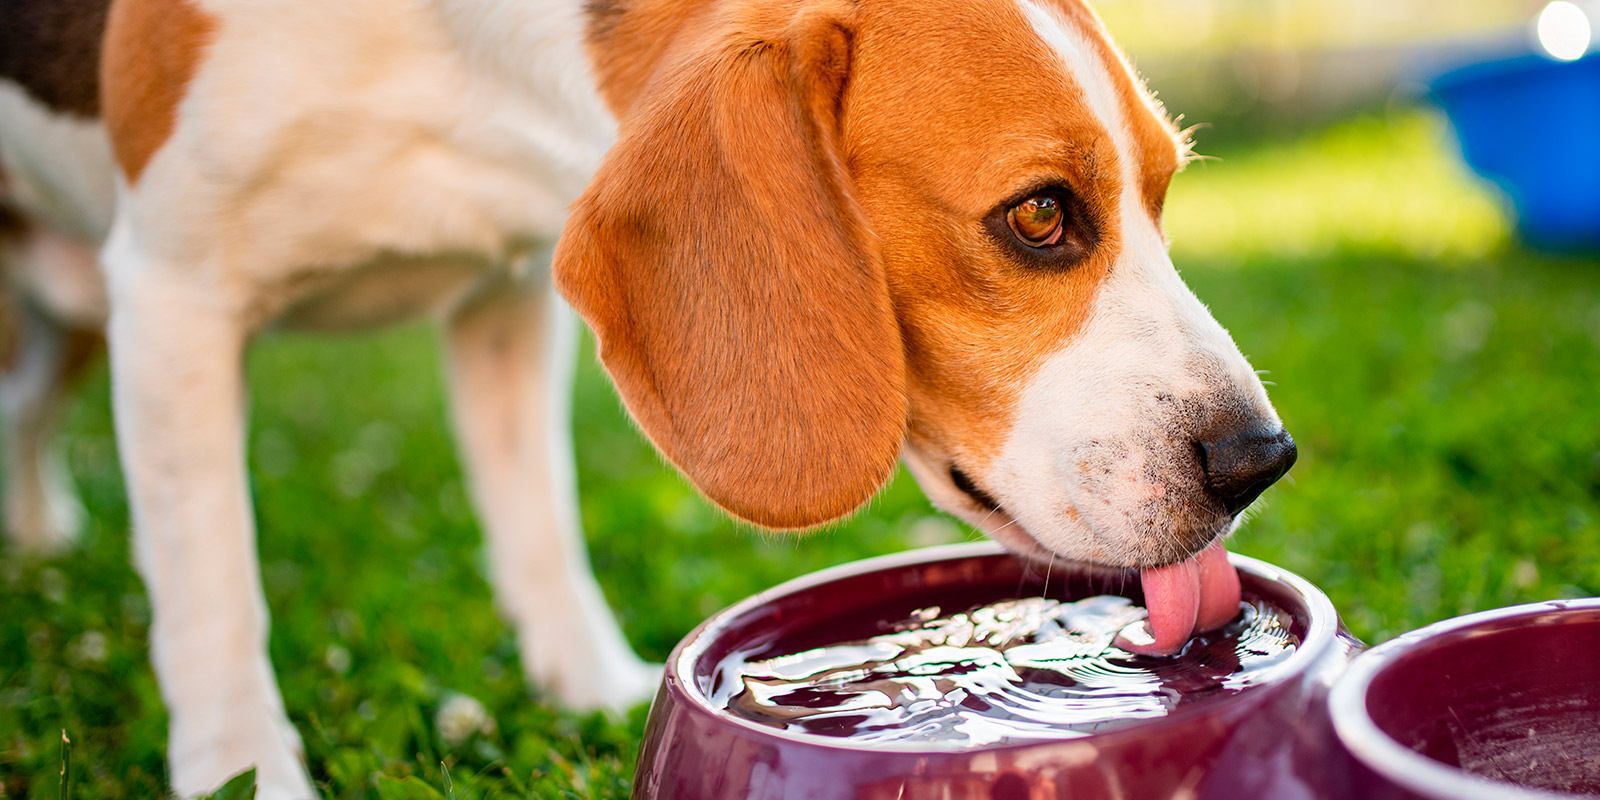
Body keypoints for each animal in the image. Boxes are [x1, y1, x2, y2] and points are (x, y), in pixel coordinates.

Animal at [0, 0, 1292, 793]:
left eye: (1163, 192)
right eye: (1038, 214)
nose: (1258, 459)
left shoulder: (505, 293)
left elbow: (537, 525)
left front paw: (590, 686)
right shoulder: (174, 291)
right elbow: (210, 592)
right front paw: (243, 768)